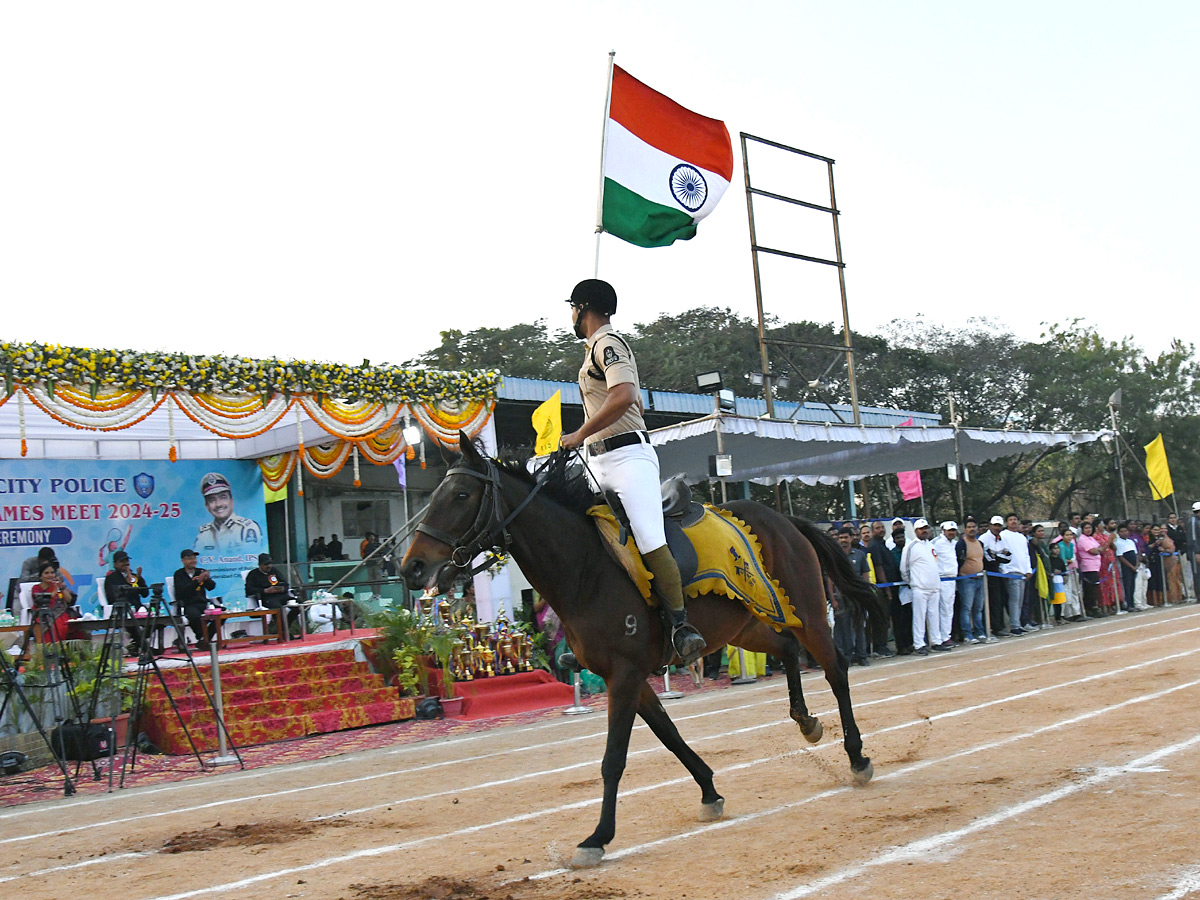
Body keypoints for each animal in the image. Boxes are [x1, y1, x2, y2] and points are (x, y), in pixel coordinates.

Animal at [408, 434, 888, 868]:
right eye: (433, 496)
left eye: (461, 495)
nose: (411, 566)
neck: (585, 568)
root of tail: (784, 518)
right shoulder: (629, 677)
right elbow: (669, 736)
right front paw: (709, 792)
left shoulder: (625, 675)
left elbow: (613, 759)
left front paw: (597, 837)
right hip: (746, 626)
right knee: (787, 649)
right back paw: (806, 722)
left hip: (807, 612)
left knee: (835, 669)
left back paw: (857, 756)